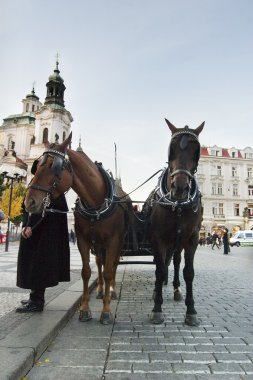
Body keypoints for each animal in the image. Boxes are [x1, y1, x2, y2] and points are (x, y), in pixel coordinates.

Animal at [24, 134, 132, 324]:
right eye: (37, 166)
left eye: (53, 166)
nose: (30, 202)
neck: (96, 203)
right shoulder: (83, 240)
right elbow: (86, 271)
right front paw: (85, 309)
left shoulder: (113, 241)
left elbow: (109, 271)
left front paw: (106, 310)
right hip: (98, 245)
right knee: (100, 263)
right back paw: (100, 291)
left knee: (112, 265)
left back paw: (111, 291)